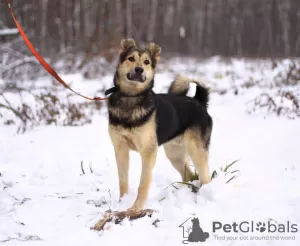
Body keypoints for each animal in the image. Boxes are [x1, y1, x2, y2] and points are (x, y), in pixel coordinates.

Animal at [106, 38, 212, 211]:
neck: (131, 98)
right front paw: (121, 204)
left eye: (147, 62)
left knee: (205, 177)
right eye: (131, 59)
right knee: (189, 175)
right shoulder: (120, 148)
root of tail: (199, 101)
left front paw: (135, 209)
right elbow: (122, 181)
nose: (139, 69)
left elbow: (143, 183)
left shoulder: (148, 152)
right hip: (174, 153)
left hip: (196, 150)